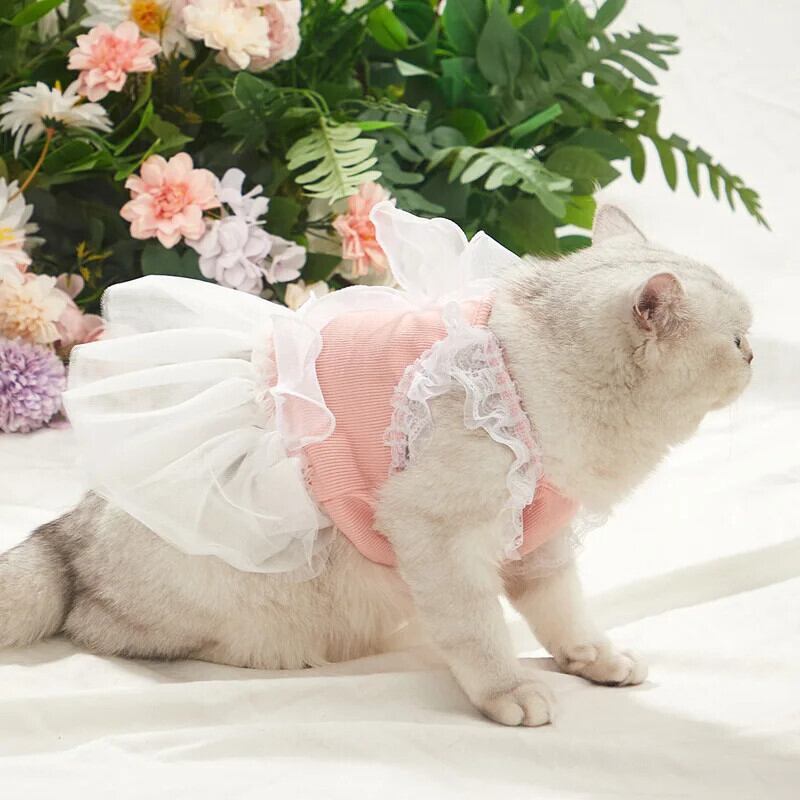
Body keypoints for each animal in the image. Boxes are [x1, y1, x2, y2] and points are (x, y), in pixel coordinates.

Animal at [0, 207, 753, 726]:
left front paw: (594, 660)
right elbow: (479, 634)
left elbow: (567, 617)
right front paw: (509, 692)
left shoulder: (539, 548)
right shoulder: (441, 537)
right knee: (99, 627)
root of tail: (65, 534)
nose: (757, 358)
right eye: (740, 340)